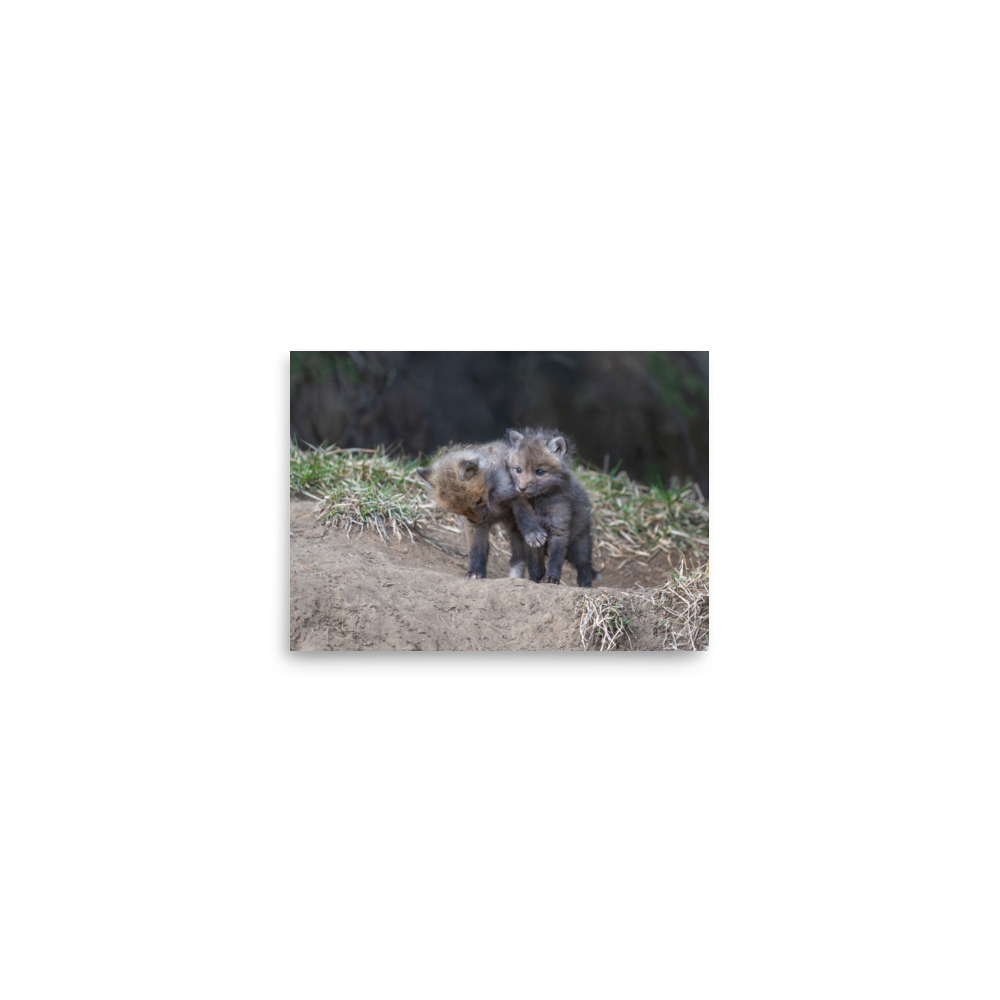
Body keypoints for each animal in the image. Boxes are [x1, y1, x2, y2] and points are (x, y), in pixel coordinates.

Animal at [417, 440, 548, 581]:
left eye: (478, 501)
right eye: (459, 511)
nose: (479, 521)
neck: (492, 497)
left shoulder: (517, 495)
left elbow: (524, 514)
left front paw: (533, 532)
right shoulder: (472, 525)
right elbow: (476, 549)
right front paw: (475, 571)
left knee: (531, 557)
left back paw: (536, 578)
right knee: (517, 557)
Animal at [504, 428, 594, 587]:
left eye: (539, 472)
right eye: (518, 469)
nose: (521, 488)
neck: (540, 503)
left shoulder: (559, 528)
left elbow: (555, 558)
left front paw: (551, 578)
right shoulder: (531, 538)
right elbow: (534, 562)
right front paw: (536, 578)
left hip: (580, 542)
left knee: (584, 564)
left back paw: (585, 584)